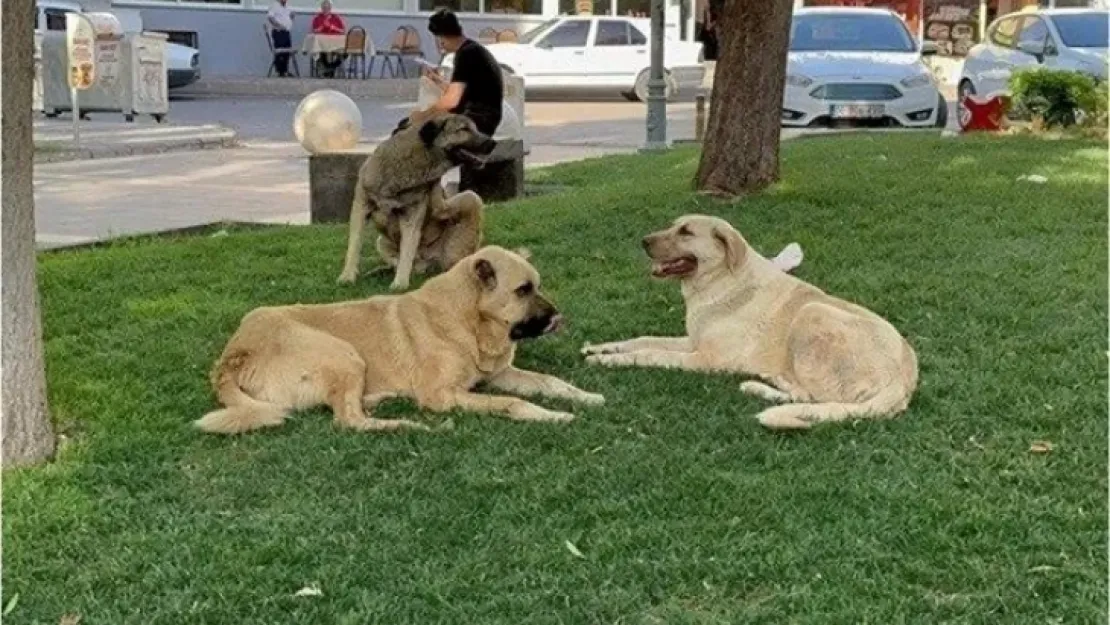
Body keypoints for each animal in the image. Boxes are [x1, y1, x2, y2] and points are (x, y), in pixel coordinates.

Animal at [195, 245, 603, 435]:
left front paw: (585, 396)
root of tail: (234, 353)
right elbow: (512, 404)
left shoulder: (499, 374)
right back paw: (409, 425)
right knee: (348, 421)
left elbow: (550, 382)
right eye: (523, 290)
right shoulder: (442, 395)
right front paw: (553, 415)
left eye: (537, 286)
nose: (559, 318)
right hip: (342, 352)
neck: (466, 321)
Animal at [335, 112, 497, 290]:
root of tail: (424, 262)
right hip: (382, 241)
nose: (493, 143)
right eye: (463, 129)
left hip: (470, 199)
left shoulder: (411, 215)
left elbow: (407, 249)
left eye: (474, 128)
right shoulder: (361, 206)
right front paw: (347, 276)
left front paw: (400, 283)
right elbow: (354, 244)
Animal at [581, 215, 919, 430]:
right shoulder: (692, 341)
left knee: (813, 397)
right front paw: (600, 348)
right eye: (673, 226)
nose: (643, 241)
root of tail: (903, 382)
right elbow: (642, 339)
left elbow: (650, 353)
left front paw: (608, 361)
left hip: (812, 311)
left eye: (686, 232)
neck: (722, 281)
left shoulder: (705, 359)